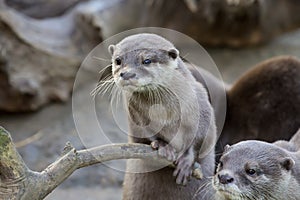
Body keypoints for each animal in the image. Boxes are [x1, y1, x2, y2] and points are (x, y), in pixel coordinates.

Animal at [106, 33, 217, 199]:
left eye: (146, 60)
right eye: (118, 60)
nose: (125, 73)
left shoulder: (201, 103)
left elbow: (204, 135)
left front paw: (187, 161)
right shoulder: (135, 115)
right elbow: (143, 135)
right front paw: (162, 145)